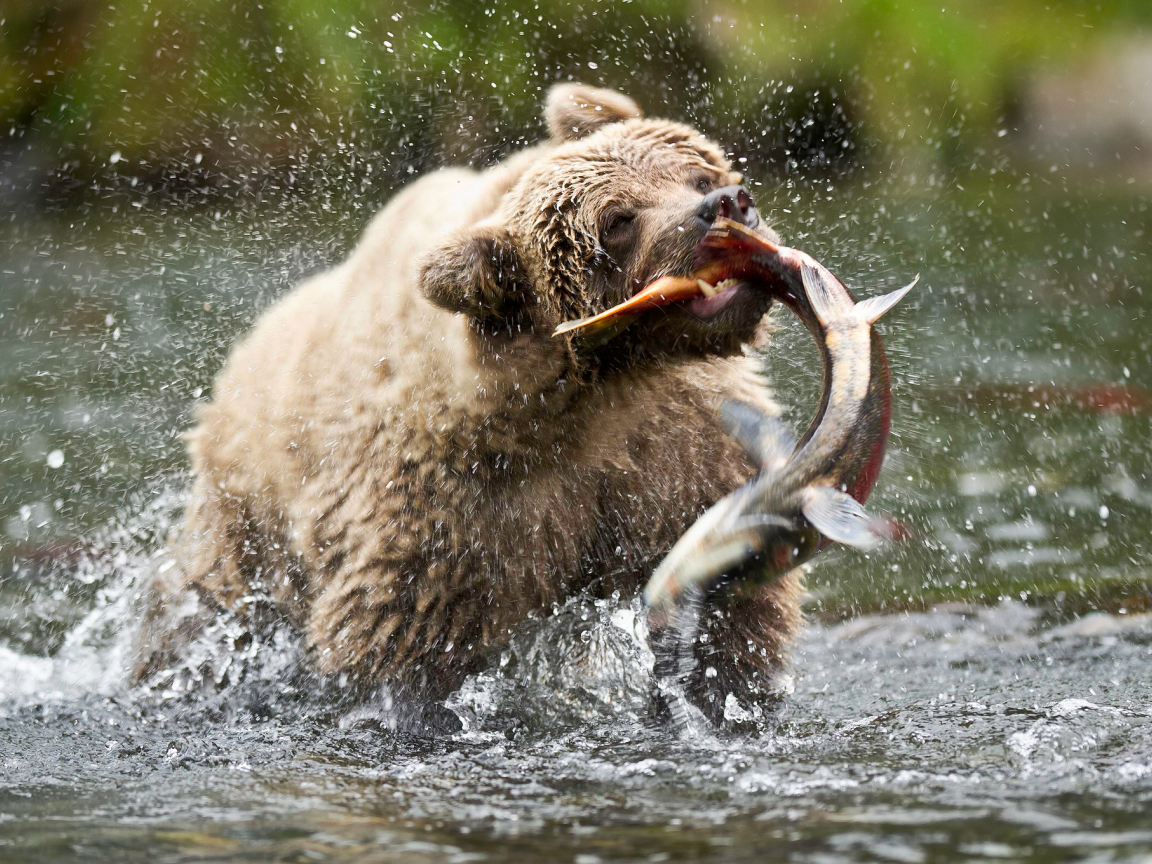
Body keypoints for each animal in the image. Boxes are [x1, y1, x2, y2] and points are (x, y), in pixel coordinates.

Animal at [137, 84, 801, 728]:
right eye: (617, 220)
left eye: (697, 173)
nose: (727, 202)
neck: (594, 393)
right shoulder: (449, 510)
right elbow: (396, 641)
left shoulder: (682, 448)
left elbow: (735, 599)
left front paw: (727, 692)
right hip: (245, 524)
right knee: (196, 615)